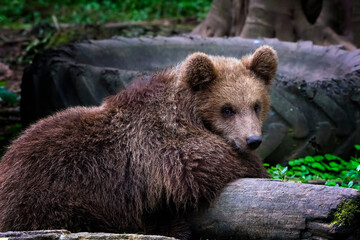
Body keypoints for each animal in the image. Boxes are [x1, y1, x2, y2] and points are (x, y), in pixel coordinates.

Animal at [0, 45, 278, 238]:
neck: (189, 110)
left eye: (256, 105)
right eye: (227, 109)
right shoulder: (161, 143)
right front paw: (257, 168)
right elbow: (201, 163)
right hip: (57, 193)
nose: (253, 140)